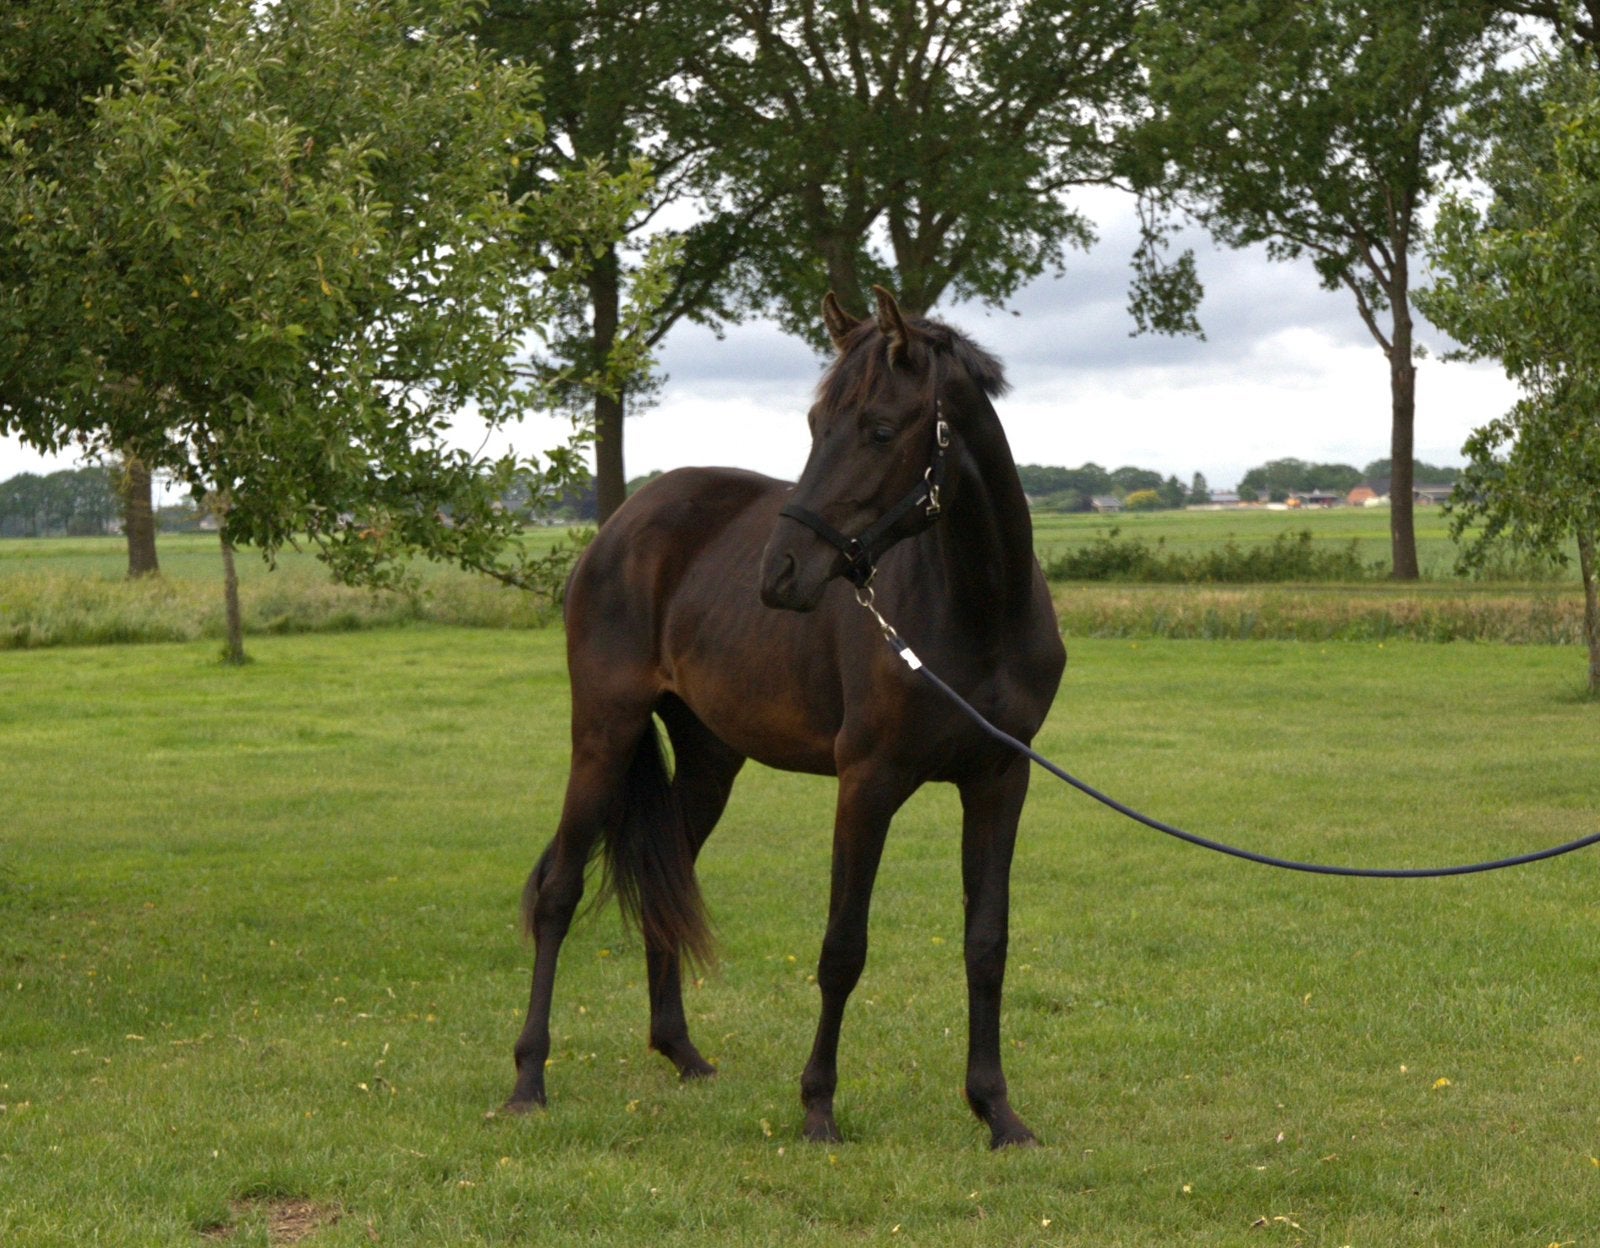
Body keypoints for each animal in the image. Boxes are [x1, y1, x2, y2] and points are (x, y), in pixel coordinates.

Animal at [505, 286, 1066, 1148]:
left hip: (709, 760)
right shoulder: (868, 783)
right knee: (558, 890)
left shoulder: (1001, 779)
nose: (781, 574)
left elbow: (987, 943)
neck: (977, 609)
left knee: (668, 874)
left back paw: (683, 1053)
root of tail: (622, 525)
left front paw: (998, 1113)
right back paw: (529, 1078)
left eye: (879, 428)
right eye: (813, 424)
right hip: (604, 732)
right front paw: (818, 1109)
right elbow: (843, 947)